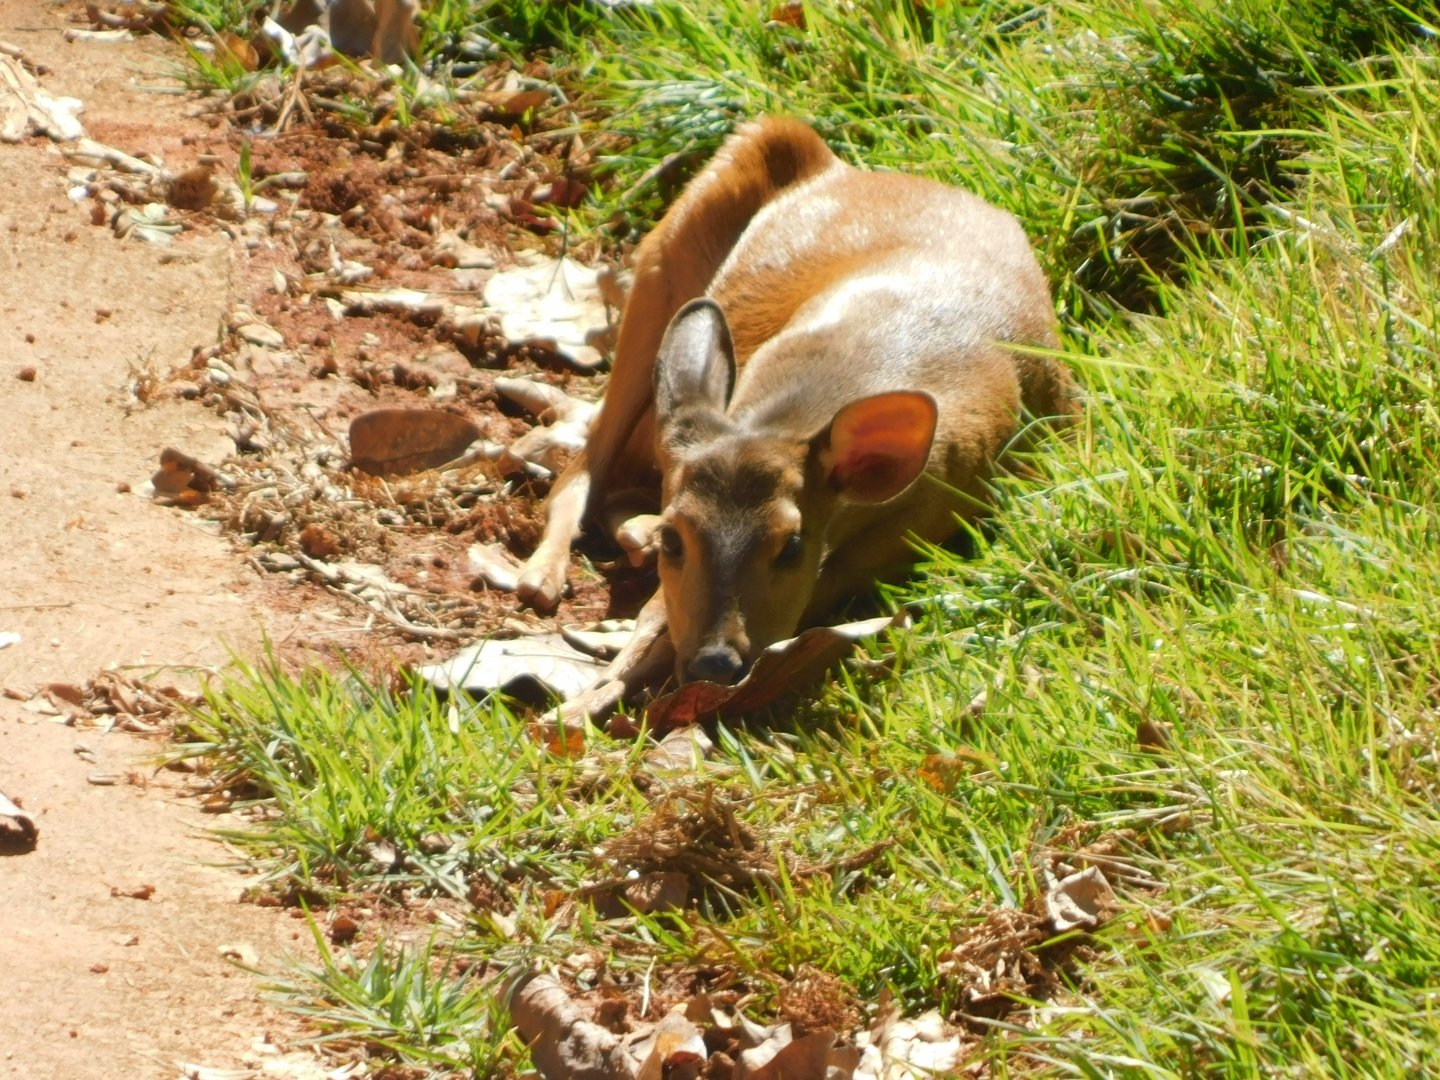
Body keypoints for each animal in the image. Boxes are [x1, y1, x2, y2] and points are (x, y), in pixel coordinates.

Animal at [515, 117, 1076, 725]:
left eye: (791, 545)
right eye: (674, 540)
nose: (716, 663)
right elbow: (653, 620)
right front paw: (579, 706)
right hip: (663, 261)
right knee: (582, 466)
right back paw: (542, 576)